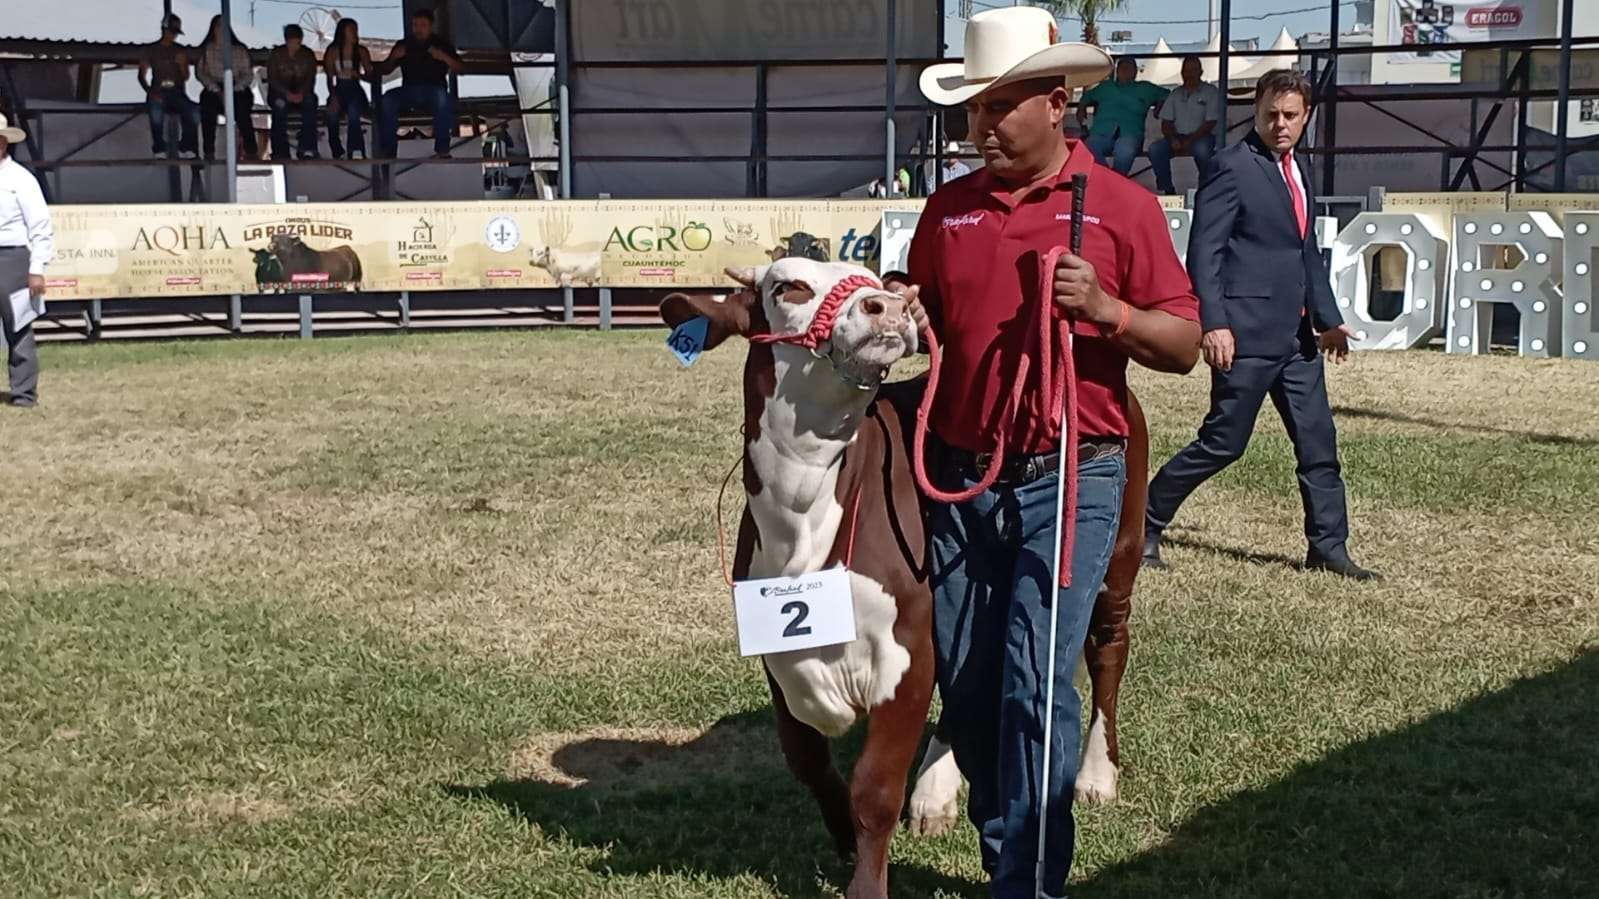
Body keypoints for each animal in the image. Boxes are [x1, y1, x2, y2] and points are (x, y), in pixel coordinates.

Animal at [660, 258, 932, 899]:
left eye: (872, 279)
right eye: (790, 287)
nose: (890, 305)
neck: (800, 523)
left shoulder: (911, 652)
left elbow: (875, 788)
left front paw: (867, 882)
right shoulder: (776, 656)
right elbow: (808, 761)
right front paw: (843, 841)